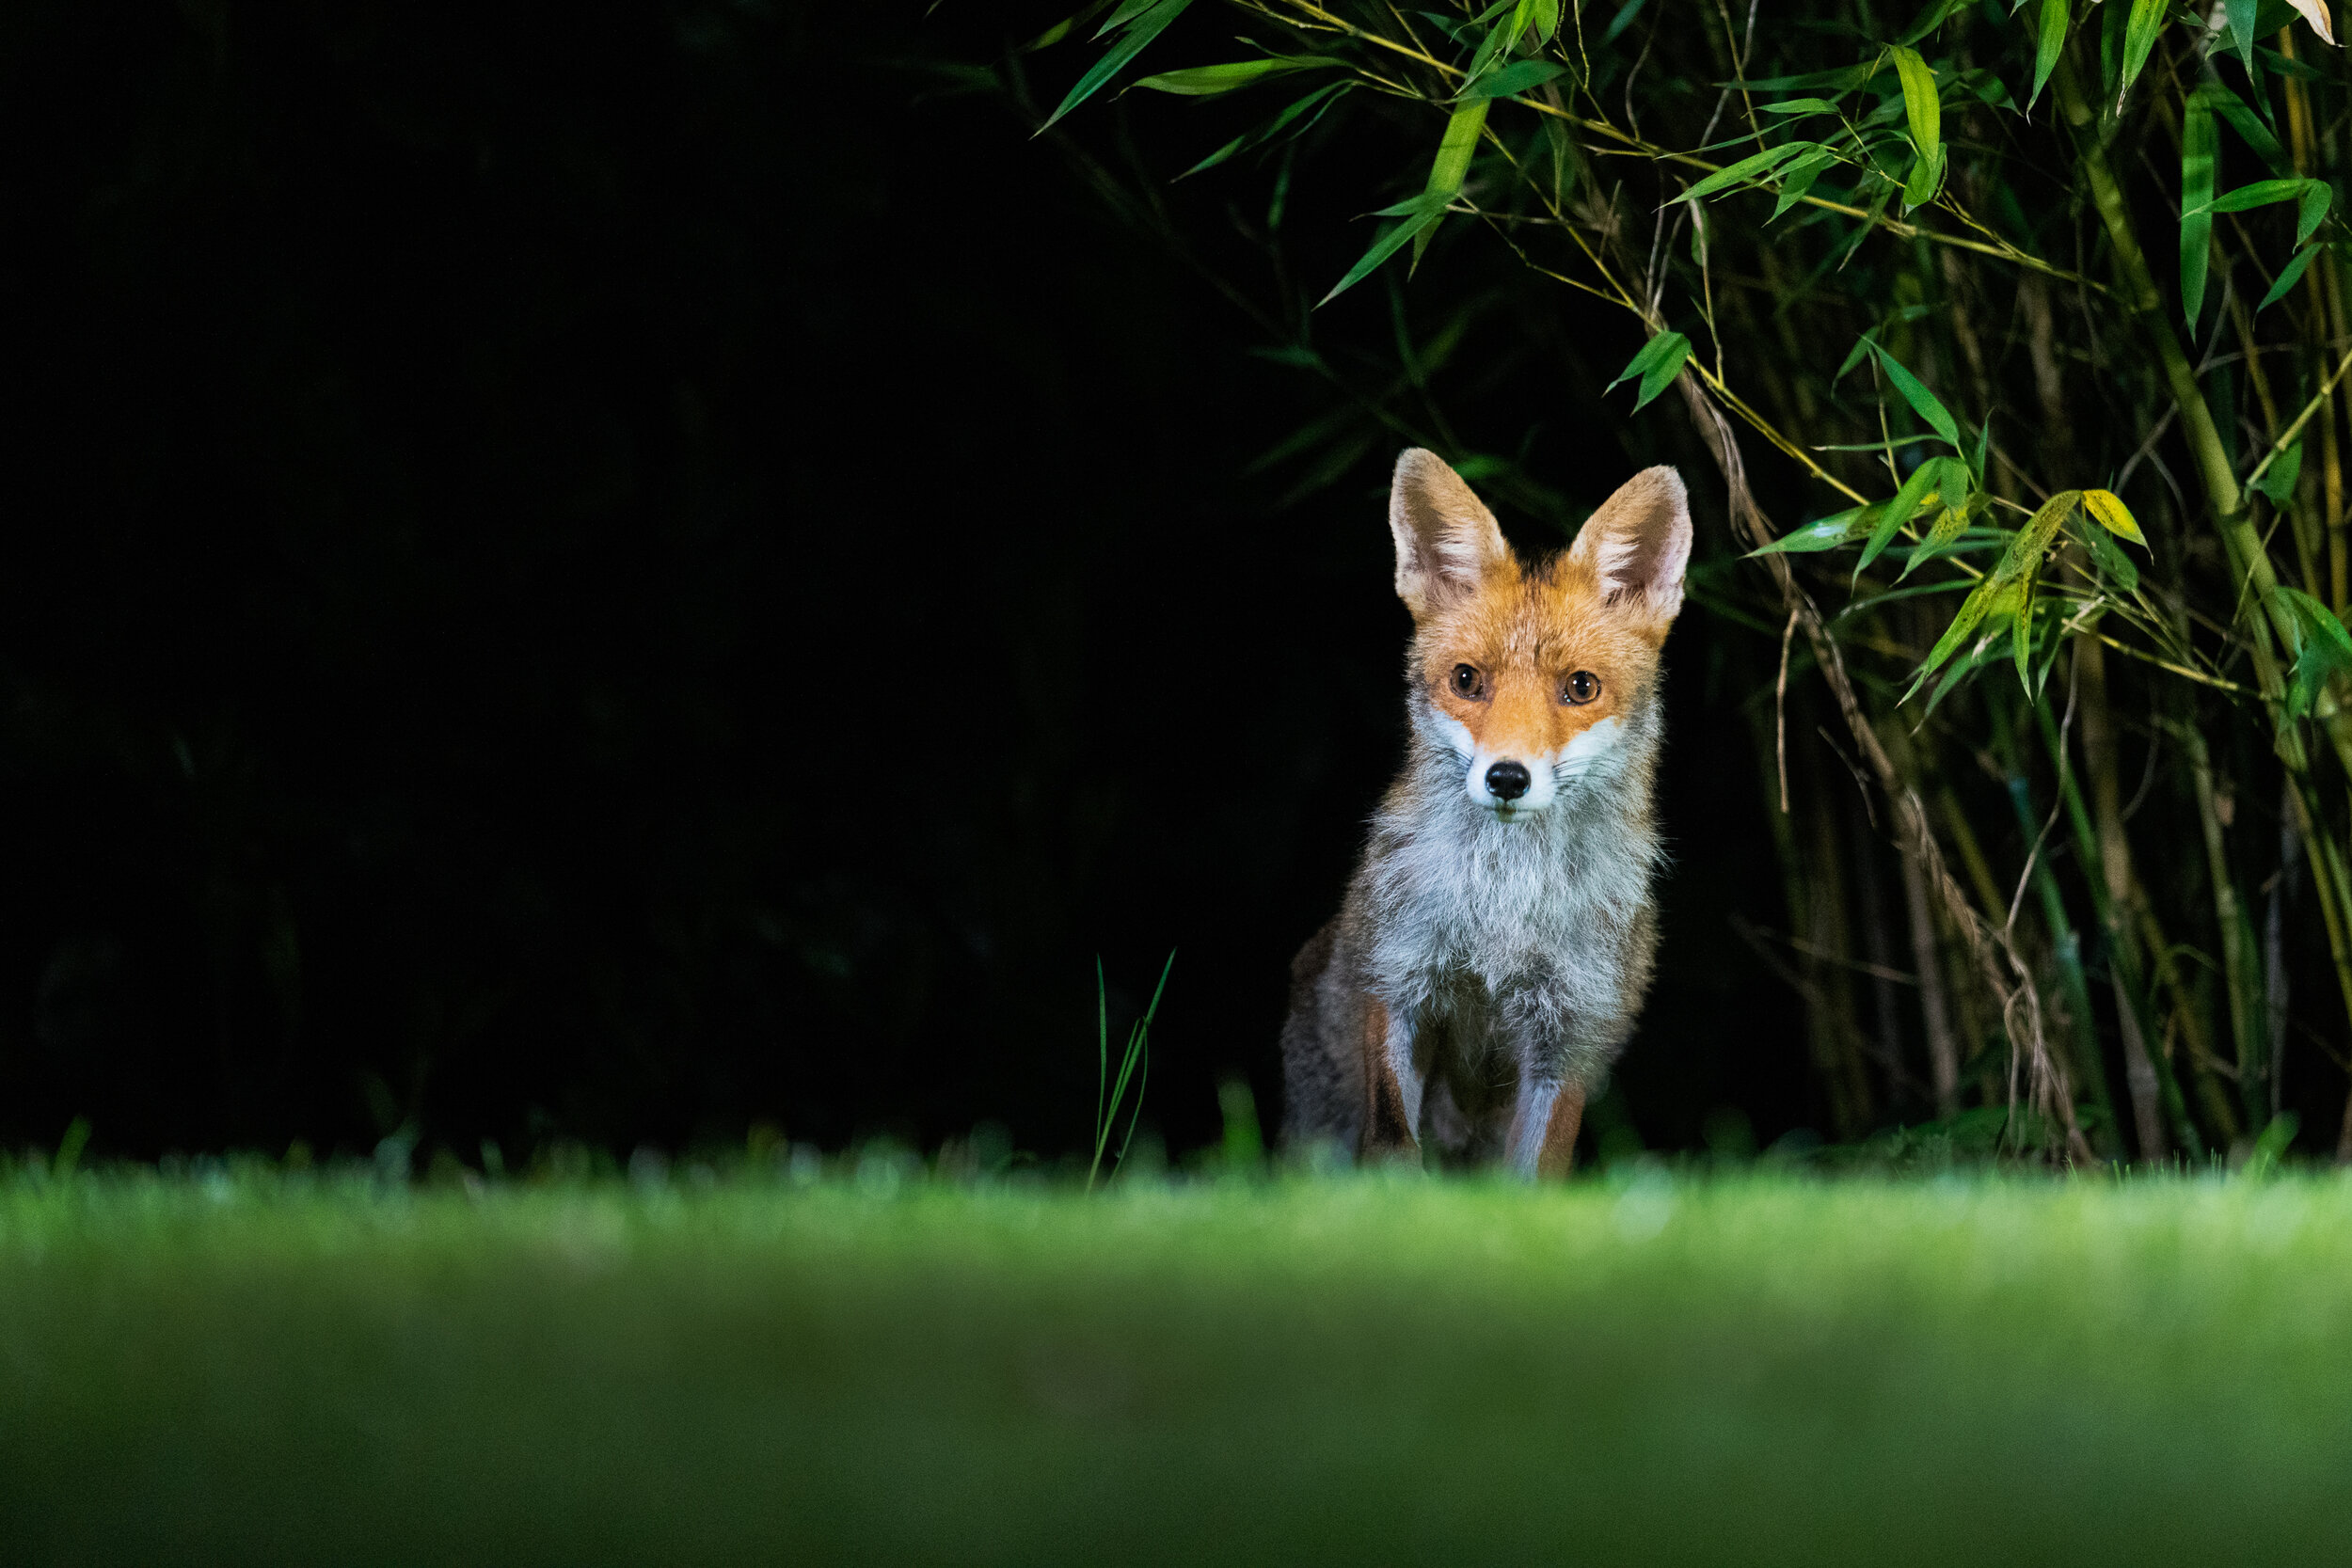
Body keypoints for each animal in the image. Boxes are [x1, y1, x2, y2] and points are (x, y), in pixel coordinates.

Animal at [1280, 448, 1691, 1177]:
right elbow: (1392, 1143)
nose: (1507, 777)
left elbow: (1535, 1174)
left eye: (1580, 687)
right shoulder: (1400, 982)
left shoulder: (1568, 1031)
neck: (1501, 907)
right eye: (1467, 680)